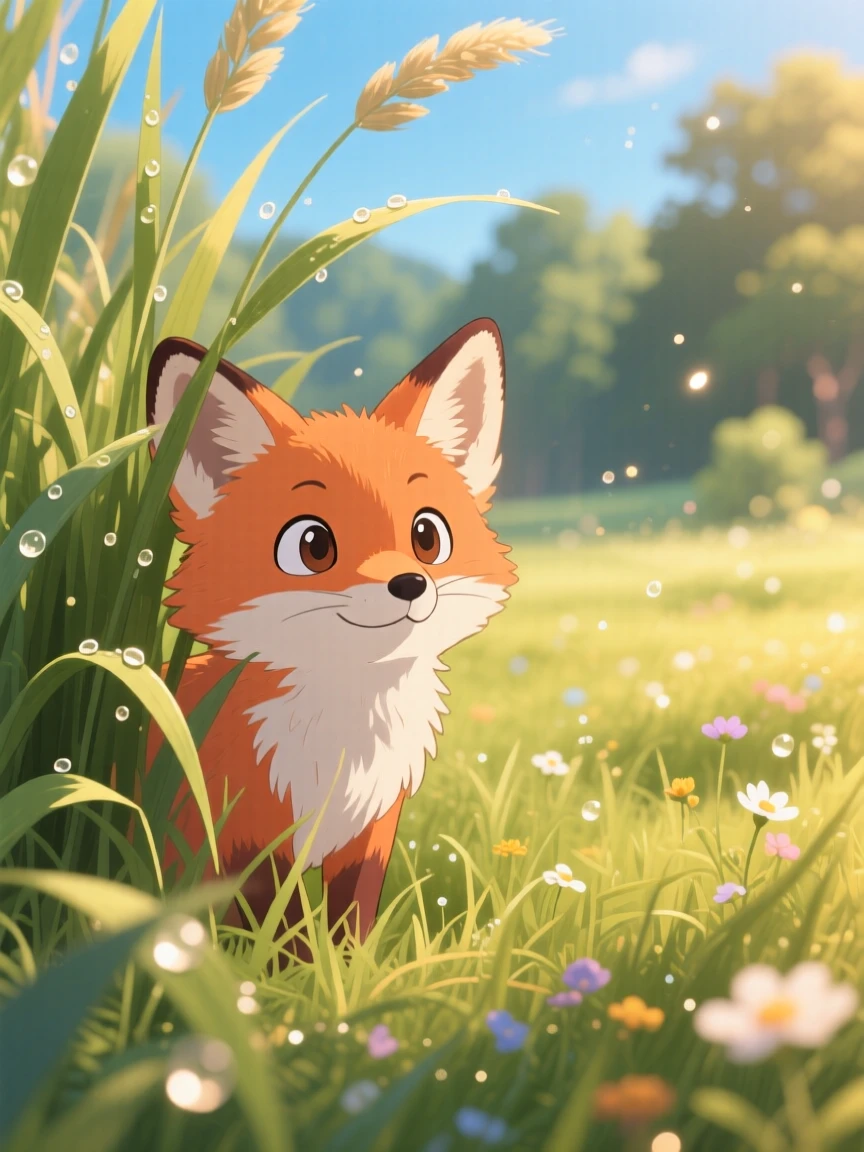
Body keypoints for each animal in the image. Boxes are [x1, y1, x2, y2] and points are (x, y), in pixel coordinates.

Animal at [145, 318, 516, 951]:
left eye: (427, 535)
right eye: (312, 545)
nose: (410, 584)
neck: (344, 743)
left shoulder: (368, 834)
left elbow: (351, 926)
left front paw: (351, 972)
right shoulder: (255, 838)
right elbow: (283, 935)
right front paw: (290, 976)